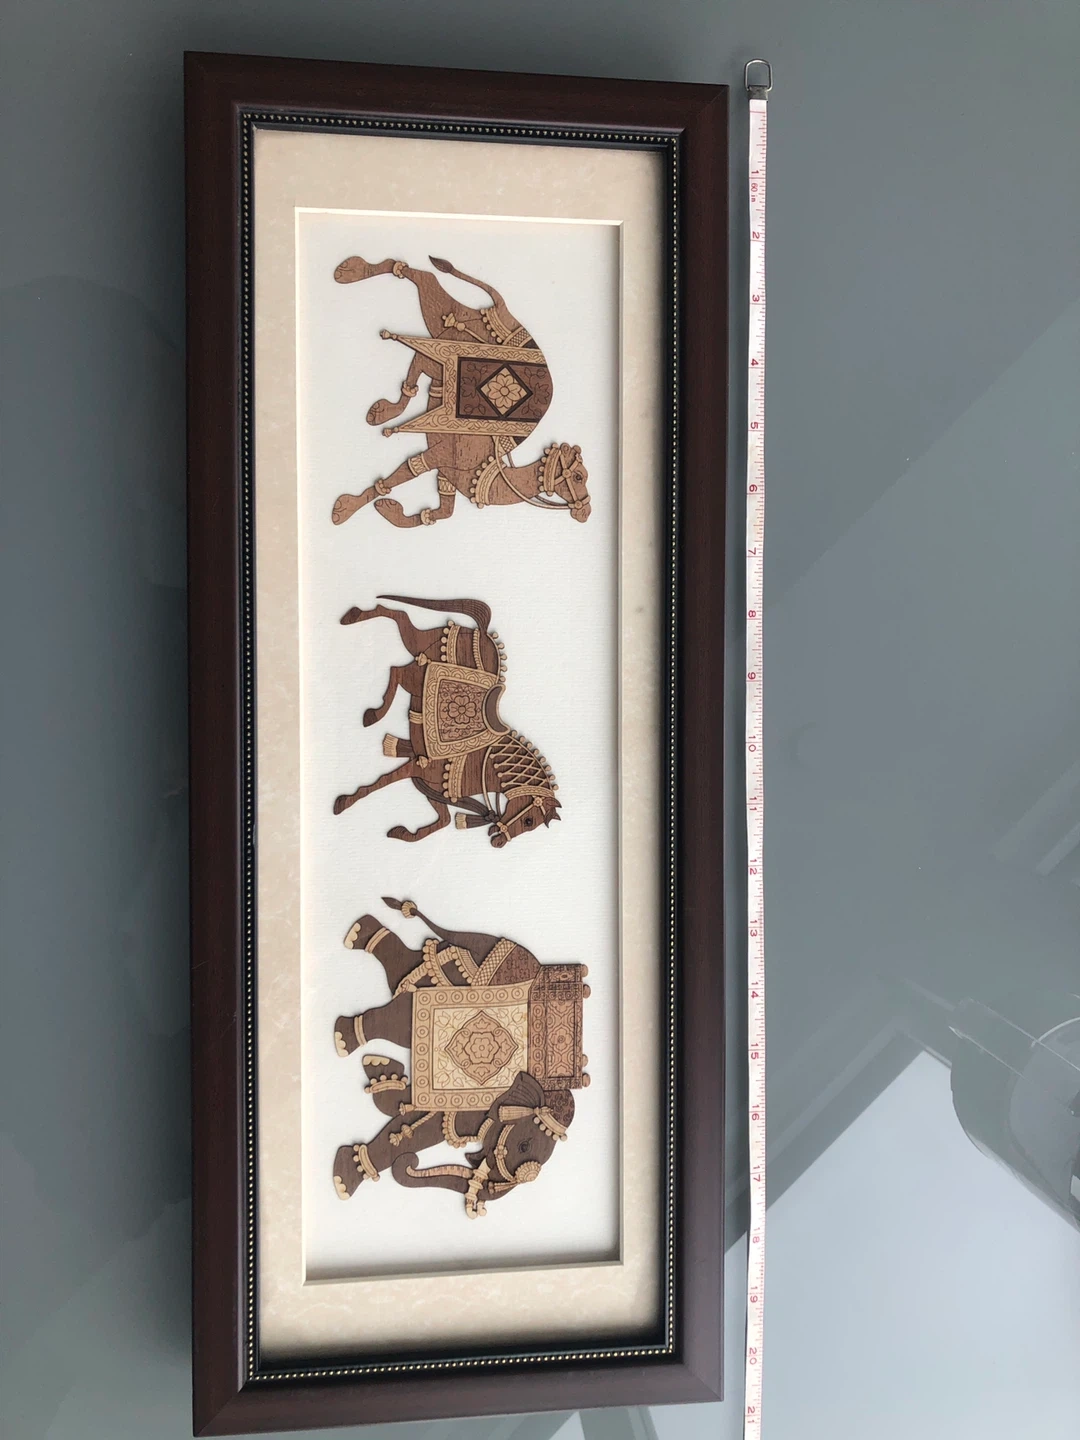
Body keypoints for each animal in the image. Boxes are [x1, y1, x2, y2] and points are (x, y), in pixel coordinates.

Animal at [329, 254, 591, 530]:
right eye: (578, 476)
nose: (586, 512)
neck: (493, 476)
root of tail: (505, 312)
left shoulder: (447, 476)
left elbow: (438, 513)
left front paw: (389, 509)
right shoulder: (440, 456)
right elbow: (402, 474)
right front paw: (345, 508)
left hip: (439, 351)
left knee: (416, 371)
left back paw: (382, 412)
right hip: (445, 327)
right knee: (424, 278)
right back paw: (349, 270)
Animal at [332, 898, 590, 1218]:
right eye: (525, 1145)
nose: (477, 1211)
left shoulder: (474, 1111)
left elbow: (430, 1123)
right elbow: (415, 1126)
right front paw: (344, 1181)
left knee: (405, 978)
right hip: (452, 983)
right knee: (400, 1011)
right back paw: (346, 1031)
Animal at [333, 596, 562, 847]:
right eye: (528, 822)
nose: (498, 842)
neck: (485, 766)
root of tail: (482, 632)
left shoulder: (433, 786)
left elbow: (442, 821)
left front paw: (402, 833)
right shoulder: (416, 768)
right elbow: (380, 782)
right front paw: (343, 802)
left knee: (398, 650)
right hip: (418, 663)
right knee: (397, 651)